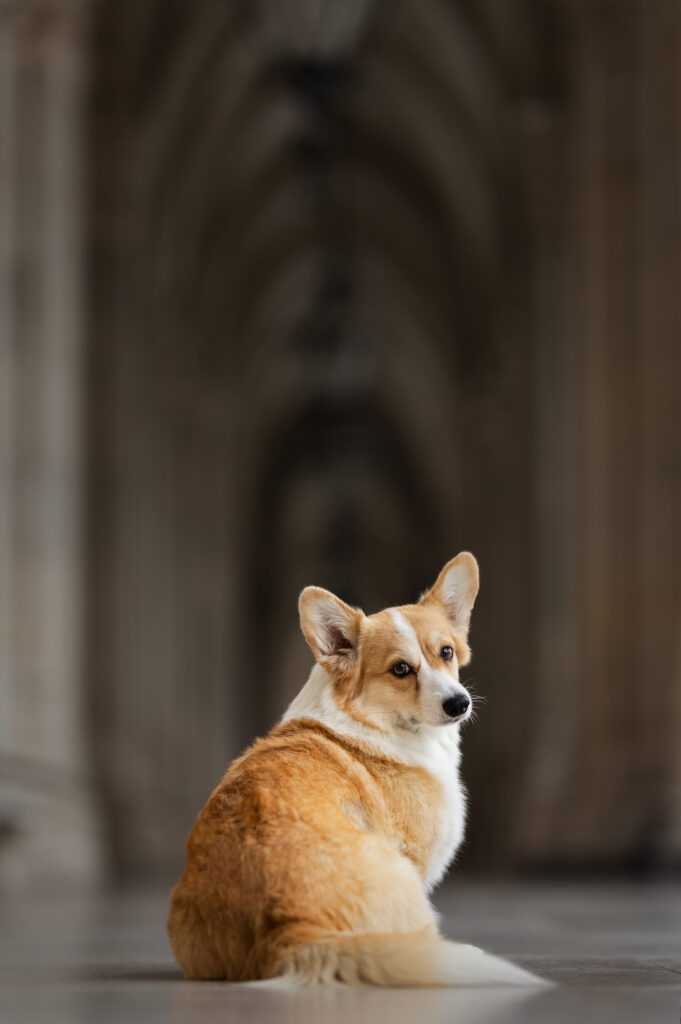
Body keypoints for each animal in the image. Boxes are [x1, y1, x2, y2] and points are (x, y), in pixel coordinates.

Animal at [166, 557, 544, 987]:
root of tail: (290, 930)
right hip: (403, 878)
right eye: (401, 669)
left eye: (446, 652)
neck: (371, 721)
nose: (459, 703)